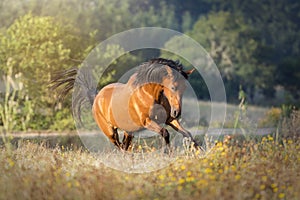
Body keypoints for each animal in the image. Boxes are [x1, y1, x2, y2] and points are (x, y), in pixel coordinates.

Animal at [50, 57, 200, 150]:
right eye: (173, 87)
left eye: (184, 87)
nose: (177, 112)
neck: (148, 94)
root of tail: (97, 97)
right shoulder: (146, 121)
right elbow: (165, 133)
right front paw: (168, 153)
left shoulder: (169, 120)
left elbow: (188, 134)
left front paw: (199, 151)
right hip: (110, 132)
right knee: (120, 147)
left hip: (129, 132)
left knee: (125, 147)